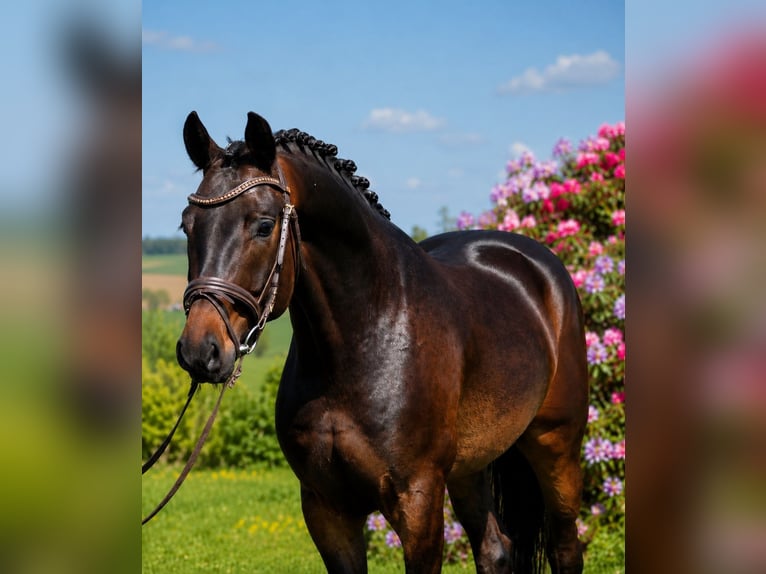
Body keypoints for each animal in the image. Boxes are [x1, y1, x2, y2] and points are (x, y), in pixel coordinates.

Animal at [176, 111, 589, 574]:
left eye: (264, 226)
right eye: (187, 225)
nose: (200, 351)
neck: (365, 340)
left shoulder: (419, 504)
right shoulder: (327, 509)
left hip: (557, 447)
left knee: (565, 548)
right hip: (471, 467)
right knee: (495, 549)